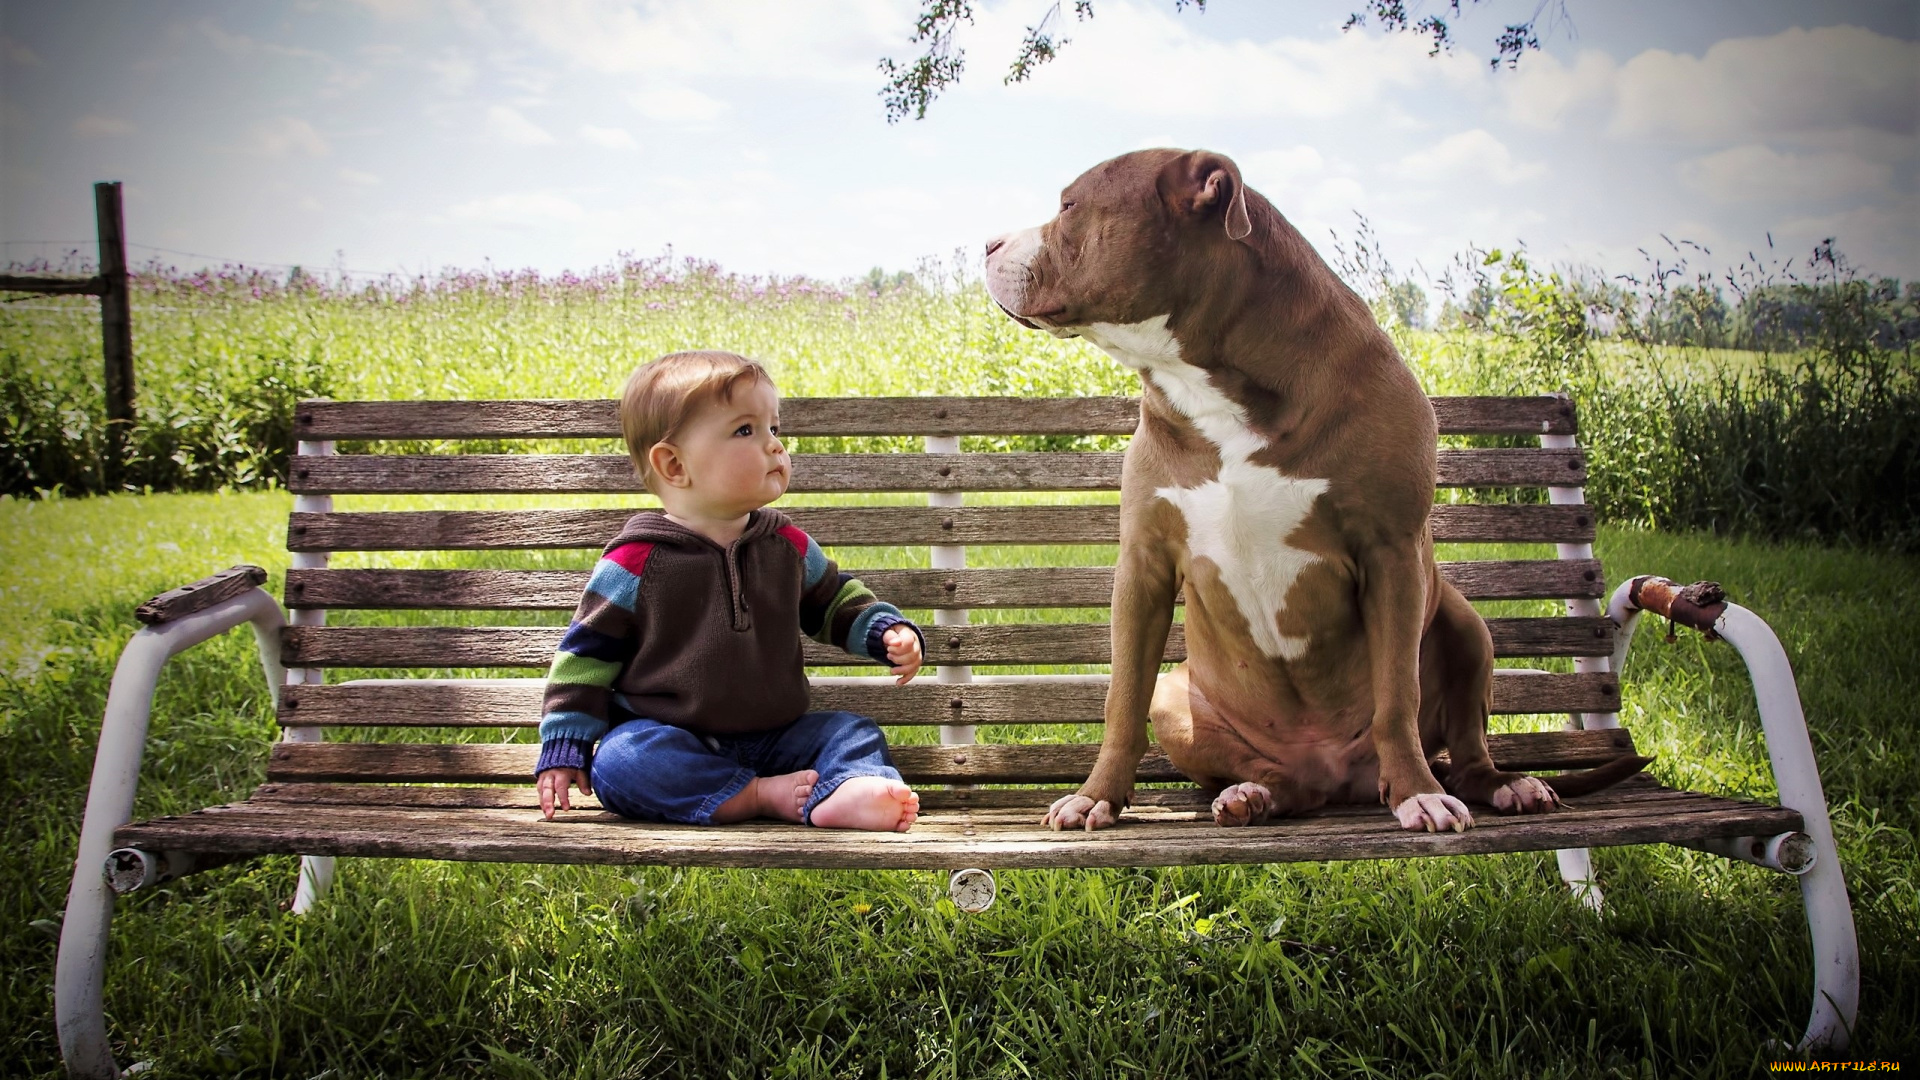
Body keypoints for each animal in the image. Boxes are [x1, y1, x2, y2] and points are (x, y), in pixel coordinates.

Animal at [983, 147, 1643, 826]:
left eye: (1069, 205)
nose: (987, 243)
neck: (1212, 384)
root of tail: (1334, 779)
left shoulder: (1392, 553)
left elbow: (1397, 694)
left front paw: (1418, 794)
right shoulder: (1143, 565)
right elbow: (1121, 698)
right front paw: (1096, 797)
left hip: (1468, 629)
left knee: (1464, 752)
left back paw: (1500, 785)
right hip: (1181, 695)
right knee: (1267, 772)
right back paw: (1251, 794)